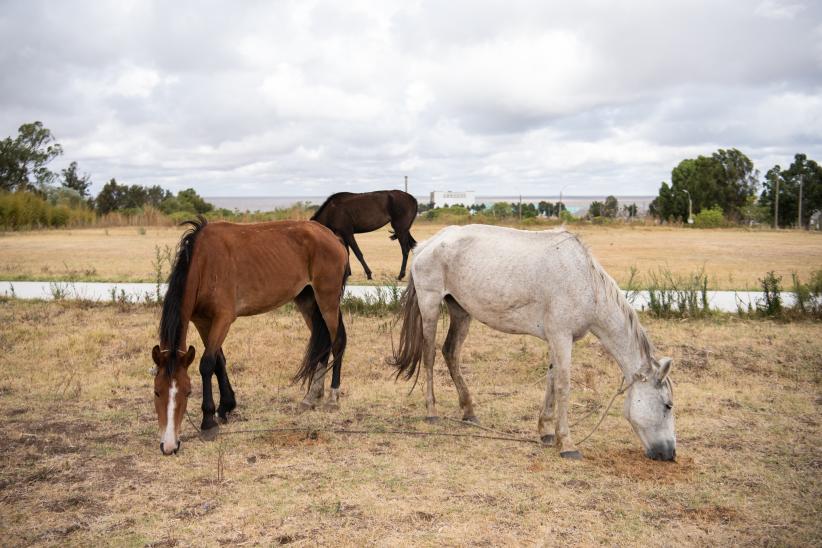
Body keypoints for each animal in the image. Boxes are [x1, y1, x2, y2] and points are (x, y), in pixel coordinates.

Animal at [151, 217, 350, 454]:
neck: (204, 263)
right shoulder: (202, 322)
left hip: (327, 300)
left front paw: (208, 422)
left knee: (337, 343)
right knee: (323, 346)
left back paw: (332, 398)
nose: (169, 446)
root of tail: (332, 236)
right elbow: (219, 362)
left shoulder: (223, 319)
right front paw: (225, 407)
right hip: (308, 300)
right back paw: (311, 397)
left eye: (188, 392)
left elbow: (207, 364)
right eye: (157, 392)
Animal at [390, 225, 680, 460]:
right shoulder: (562, 337)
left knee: (450, 353)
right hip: (430, 306)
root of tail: (427, 244)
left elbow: (551, 381)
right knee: (429, 355)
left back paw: (469, 411)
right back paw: (432, 411)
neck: (585, 282)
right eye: (667, 405)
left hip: (461, 311)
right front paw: (567, 444)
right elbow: (563, 386)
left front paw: (546, 431)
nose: (670, 454)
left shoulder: (556, 339)